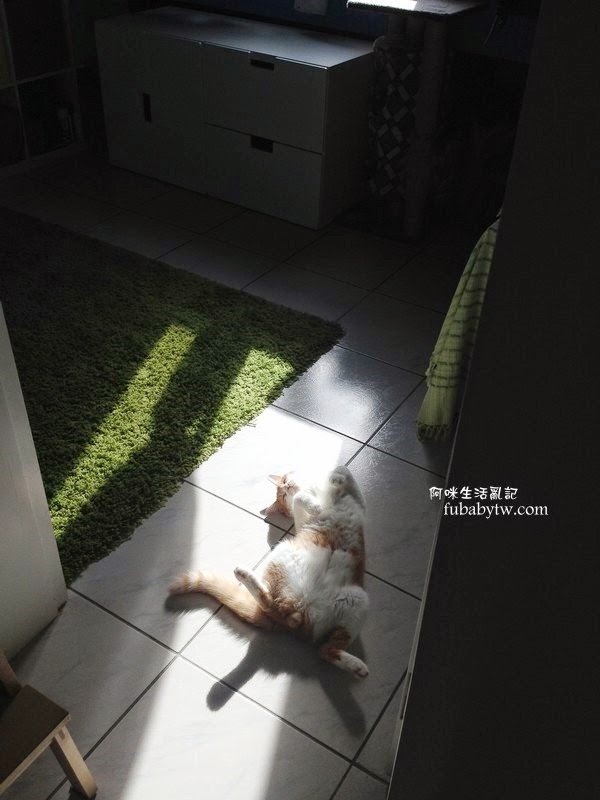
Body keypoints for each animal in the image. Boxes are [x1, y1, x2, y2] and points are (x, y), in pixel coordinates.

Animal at [169, 465, 370, 678]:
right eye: (283, 494)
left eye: (284, 484)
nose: (287, 487)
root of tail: (298, 614)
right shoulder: (302, 522)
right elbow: (301, 499)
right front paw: (321, 493)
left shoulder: (359, 507)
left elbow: (348, 480)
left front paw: (336, 477)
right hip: (285, 550)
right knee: (269, 602)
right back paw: (242, 574)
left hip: (357, 601)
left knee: (325, 650)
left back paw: (357, 667)